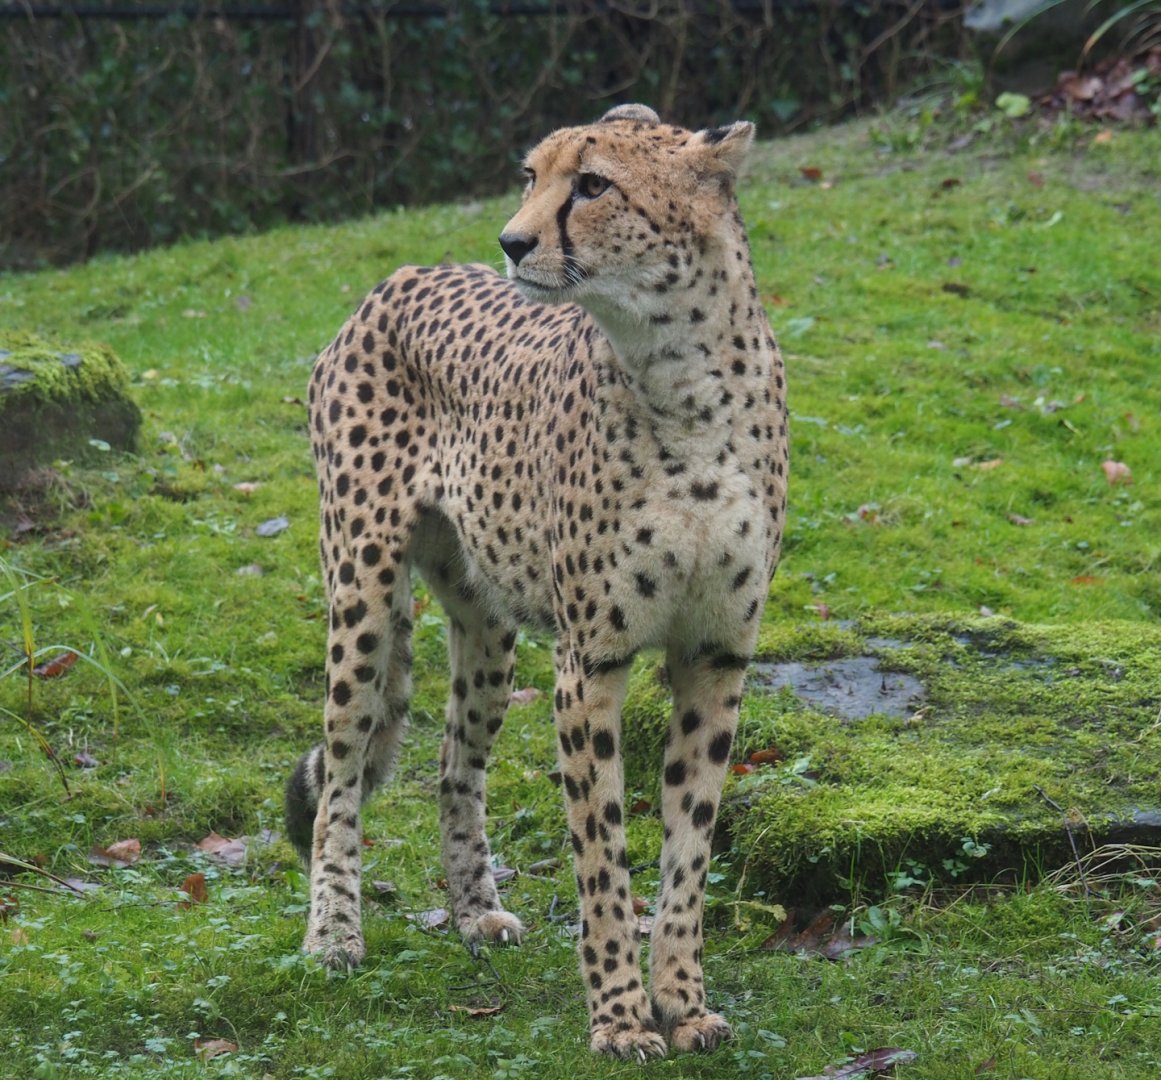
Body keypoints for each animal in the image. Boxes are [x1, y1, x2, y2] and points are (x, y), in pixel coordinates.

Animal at [285, 102, 788, 1060]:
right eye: (530, 176)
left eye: (591, 185)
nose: (512, 242)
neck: (679, 376)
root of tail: (401, 274)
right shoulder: (589, 663)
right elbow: (602, 854)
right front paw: (620, 1017)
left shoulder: (716, 655)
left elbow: (688, 849)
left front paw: (682, 1002)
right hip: (361, 593)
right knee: (339, 774)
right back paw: (333, 934)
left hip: (488, 626)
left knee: (454, 763)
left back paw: (474, 912)